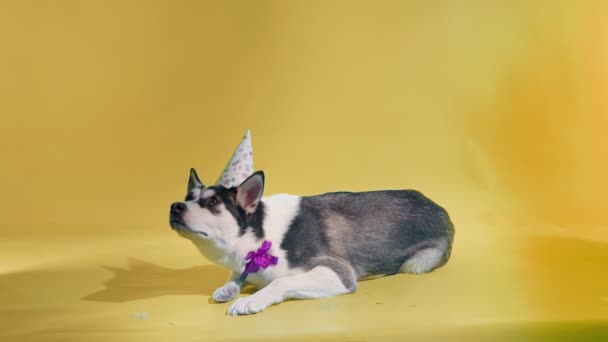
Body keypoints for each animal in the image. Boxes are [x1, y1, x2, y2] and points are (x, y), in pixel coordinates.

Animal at [169, 168, 454, 316]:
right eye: (188, 196)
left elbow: (281, 281)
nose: (175, 206)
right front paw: (228, 288)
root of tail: (439, 207)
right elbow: (236, 276)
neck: (259, 235)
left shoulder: (338, 273)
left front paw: (252, 300)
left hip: (417, 262)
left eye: (214, 202)